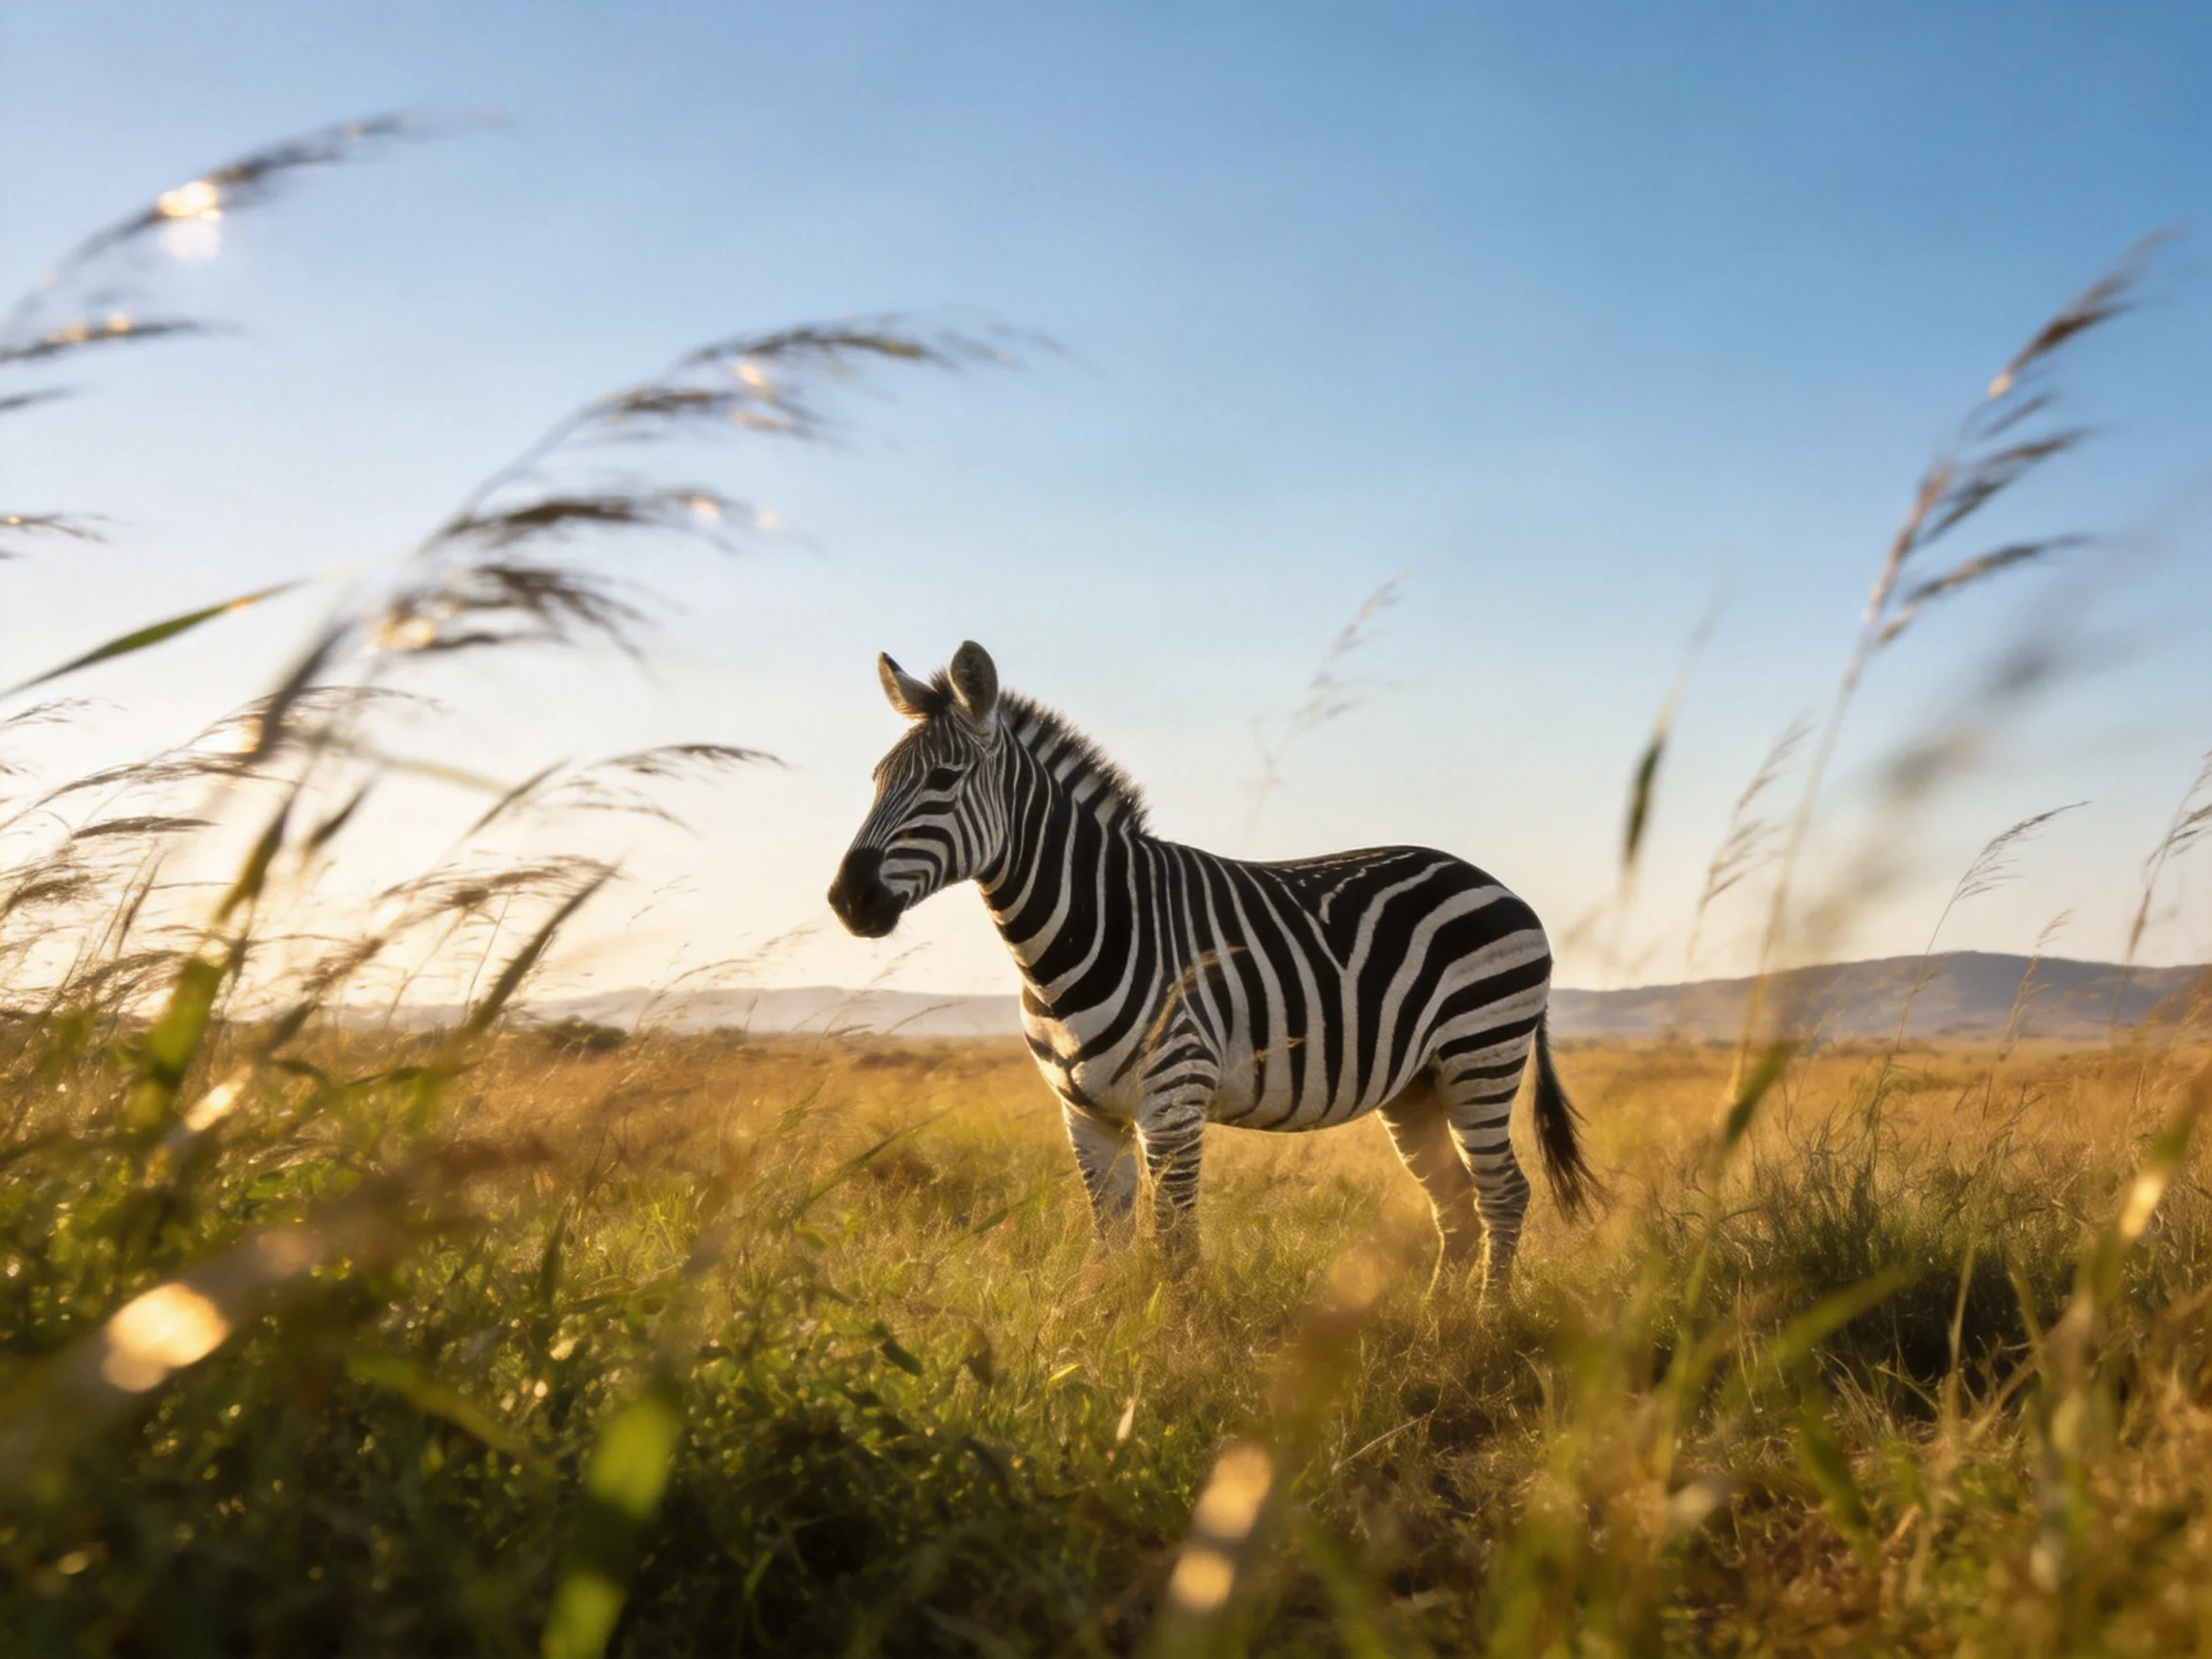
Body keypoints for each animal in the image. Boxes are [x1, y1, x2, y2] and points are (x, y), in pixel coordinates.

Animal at [826, 640, 1596, 1286]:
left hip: (1480, 1057)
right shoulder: (1084, 1114)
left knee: (1503, 1196)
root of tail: (1499, 886)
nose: (846, 898)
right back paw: (1437, 1334)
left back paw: (1485, 1325)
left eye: (945, 778)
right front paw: (1101, 1337)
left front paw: (1178, 1348)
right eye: (876, 779)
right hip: (1418, 1084)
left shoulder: (1173, 1100)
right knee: (1456, 1203)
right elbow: (1110, 1241)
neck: (1082, 931)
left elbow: (1175, 1247)